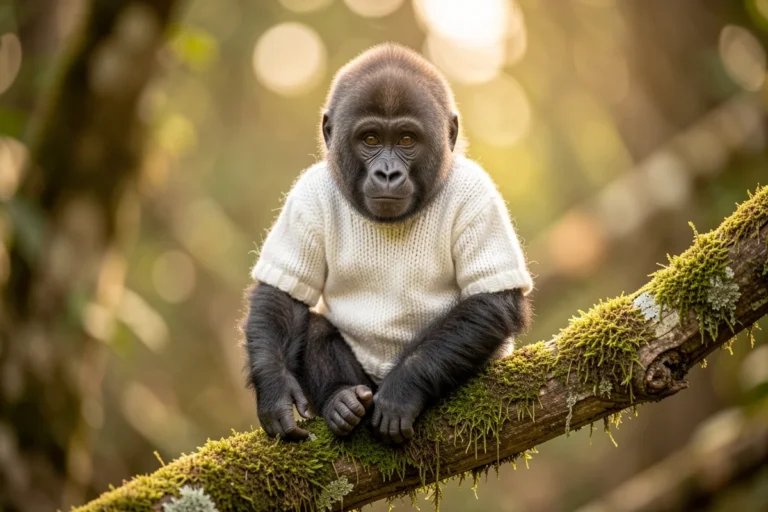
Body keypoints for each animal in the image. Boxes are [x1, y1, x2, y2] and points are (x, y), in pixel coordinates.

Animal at [244, 43, 533, 444]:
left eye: (407, 140)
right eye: (370, 140)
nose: (387, 173)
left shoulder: (478, 196)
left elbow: (491, 300)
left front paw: (403, 389)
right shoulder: (306, 197)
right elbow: (282, 296)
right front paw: (276, 391)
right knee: (314, 328)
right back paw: (342, 399)